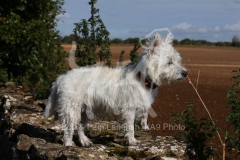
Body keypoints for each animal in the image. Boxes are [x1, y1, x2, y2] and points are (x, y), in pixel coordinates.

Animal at [44, 32, 187, 146]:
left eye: (177, 61)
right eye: (169, 62)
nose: (185, 73)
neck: (142, 78)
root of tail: (61, 78)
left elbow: (145, 114)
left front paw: (144, 126)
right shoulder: (129, 109)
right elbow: (130, 127)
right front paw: (132, 141)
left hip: (85, 111)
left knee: (79, 127)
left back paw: (85, 141)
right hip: (71, 109)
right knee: (69, 129)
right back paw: (68, 145)